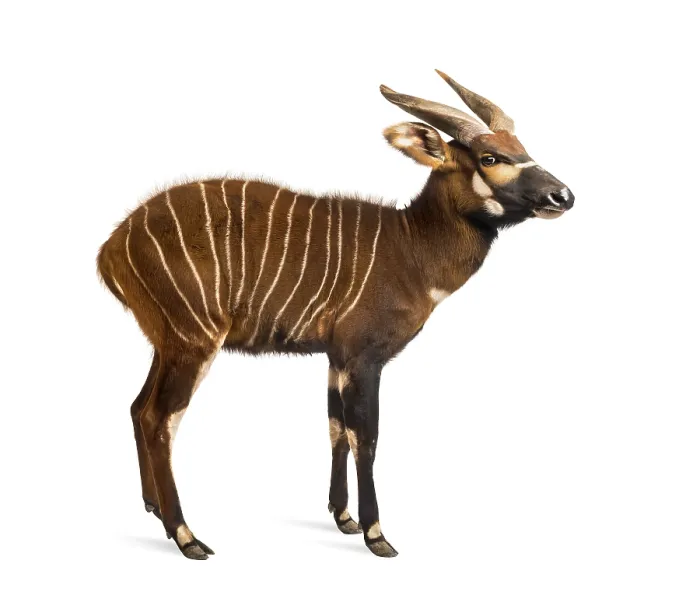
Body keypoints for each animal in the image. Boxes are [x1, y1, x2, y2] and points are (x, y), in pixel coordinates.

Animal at [97, 70, 574, 560]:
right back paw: (186, 536)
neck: (410, 246)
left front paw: (343, 518)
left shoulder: (336, 356)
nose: (562, 195)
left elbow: (336, 428)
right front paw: (376, 534)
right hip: (193, 340)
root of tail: (110, 248)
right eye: (489, 157)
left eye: (523, 147)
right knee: (160, 419)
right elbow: (367, 436)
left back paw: (154, 507)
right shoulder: (364, 356)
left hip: (167, 342)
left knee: (138, 408)